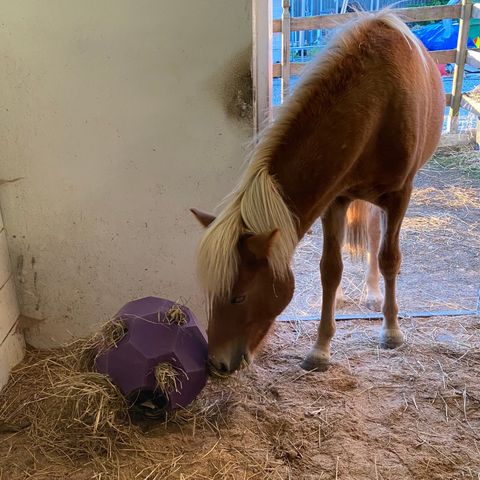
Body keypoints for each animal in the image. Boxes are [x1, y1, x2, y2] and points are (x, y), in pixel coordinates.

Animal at [190, 9, 442, 374]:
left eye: (239, 296)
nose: (216, 364)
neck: (378, 105)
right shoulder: (335, 199)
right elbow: (330, 270)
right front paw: (320, 349)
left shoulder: (399, 196)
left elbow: (389, 259)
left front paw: (392, 331)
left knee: (377, 241)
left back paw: (374, 294)